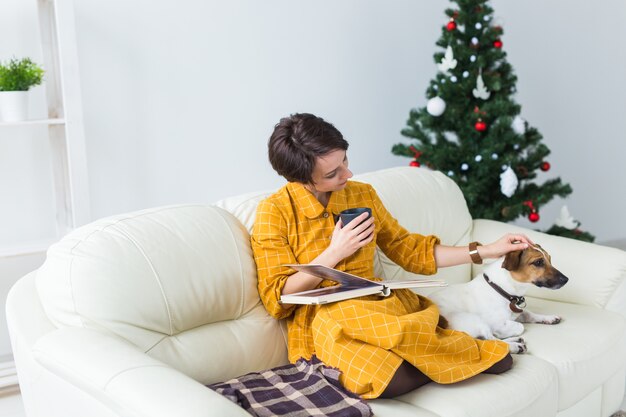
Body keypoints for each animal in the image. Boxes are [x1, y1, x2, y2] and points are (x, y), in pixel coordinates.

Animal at [428, 245, 564, 352]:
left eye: (550, 259)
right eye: (538, 262)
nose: (566, 279)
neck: (500, 288)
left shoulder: (517, 312)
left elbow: (529, 314)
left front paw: (549, 318)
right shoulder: (496, 323)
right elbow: (520, 326)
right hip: (474, 321)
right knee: (491, 341)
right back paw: (515, 346)